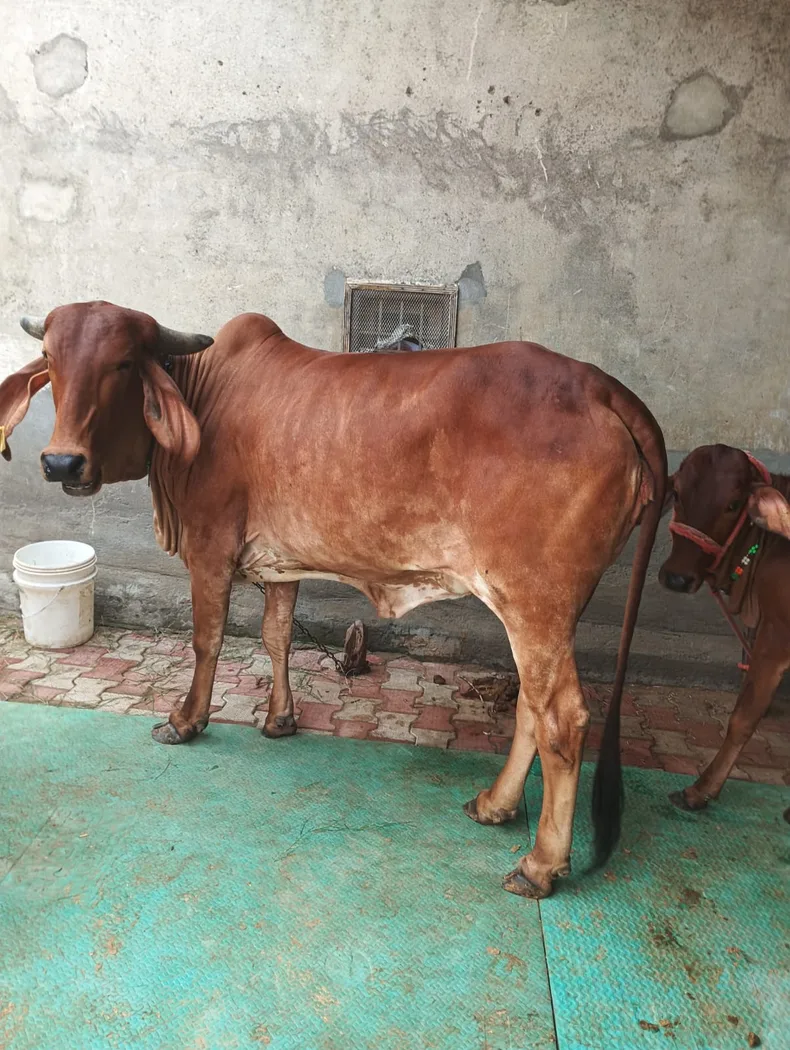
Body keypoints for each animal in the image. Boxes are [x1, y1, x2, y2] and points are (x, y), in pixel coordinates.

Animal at [0, 301, 667, 898]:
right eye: (50, 359)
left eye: (121, 362)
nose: (61, 461)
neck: (203, 394)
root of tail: (603, 386)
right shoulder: (280, 561)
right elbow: (276, 636)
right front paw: (279, 719)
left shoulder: (209, 549)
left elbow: (207, 641)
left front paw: (186, 720)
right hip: (545, 612)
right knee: (532, 703)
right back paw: (495, 805)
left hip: (534, 602)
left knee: (562, 717)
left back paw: (539, 865)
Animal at [657, 444, 790, 814]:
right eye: (677, 493)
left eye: (733, 505)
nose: (677, 578)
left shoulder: (776, 636)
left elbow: (744, 717)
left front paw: (701, 790)